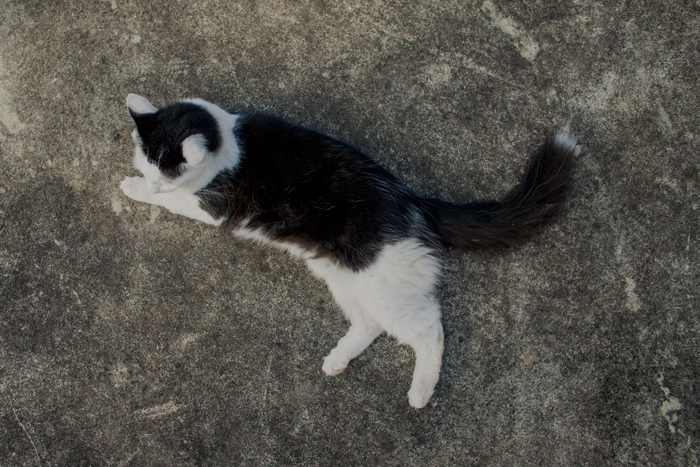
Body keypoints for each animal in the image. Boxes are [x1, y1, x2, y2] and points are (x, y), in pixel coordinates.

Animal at [119, 93, 576, 408]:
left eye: (168, 173)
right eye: (149, 160)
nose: (153, 183)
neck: (230, 140)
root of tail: (415, 201)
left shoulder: (212, 207)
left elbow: (176, 202)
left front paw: (134, 188)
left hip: (383, 287)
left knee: (430, 329)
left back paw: (421, 392)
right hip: (345, 278)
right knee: (370, 325)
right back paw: (337, 360)